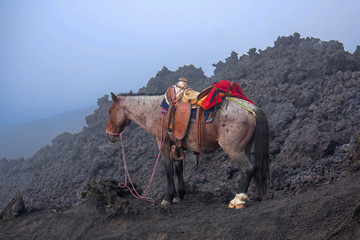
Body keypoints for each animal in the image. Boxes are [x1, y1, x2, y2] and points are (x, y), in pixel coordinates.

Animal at [105, 92, 268, 208]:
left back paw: (237, 200)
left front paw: (168, 198)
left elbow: (169, 171)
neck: (153, 111)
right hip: (244, 147)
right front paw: (179, 195)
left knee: (248, 169)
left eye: (109, 111)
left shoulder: (164, 146)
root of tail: (252, 109)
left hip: (233, 149)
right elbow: (179, 170)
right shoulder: (176, 146)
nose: (109, 135)